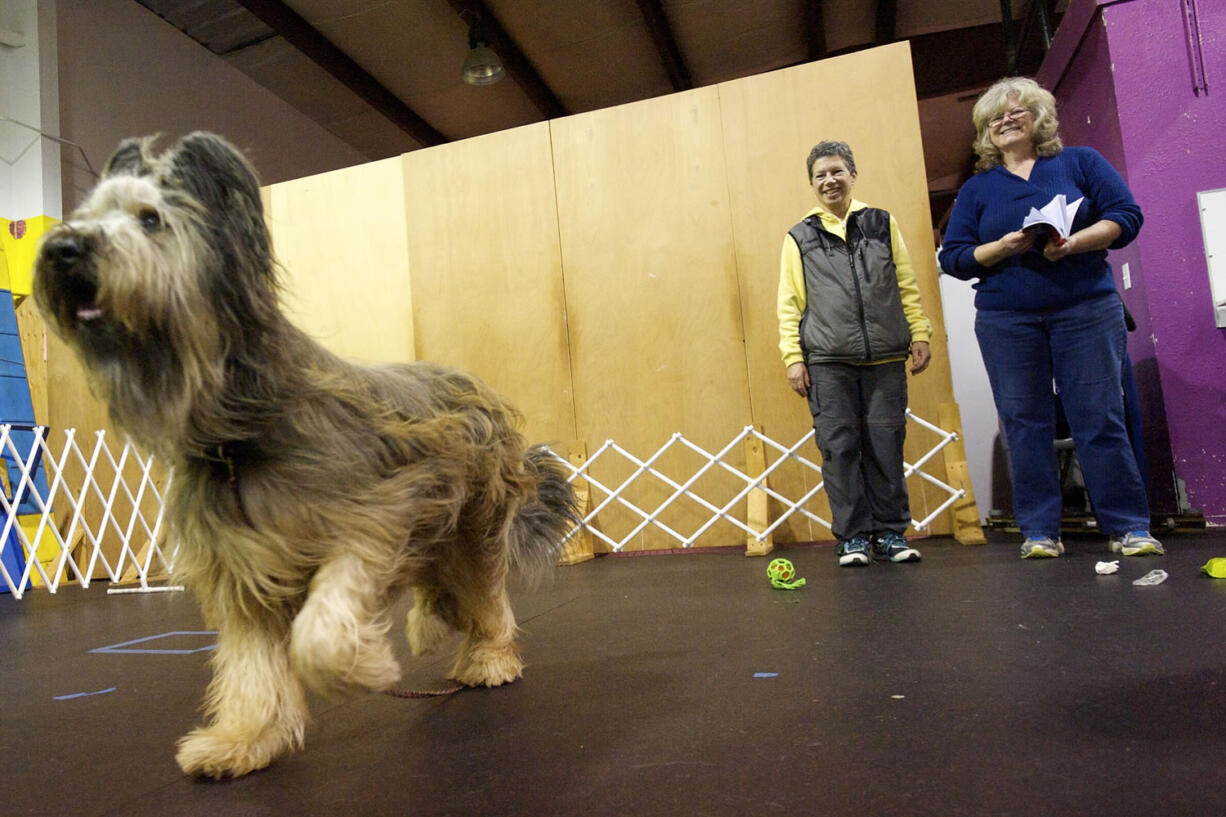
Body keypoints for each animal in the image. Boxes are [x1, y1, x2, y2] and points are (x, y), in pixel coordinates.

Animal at [32, 131, 578, 775]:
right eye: (86, 214)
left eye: (150, 219)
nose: (63, 248)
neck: (238, 432)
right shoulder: (239, 567)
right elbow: (250, 664)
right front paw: (243, 737)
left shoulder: (374, 518)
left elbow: (319, 631)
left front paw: (366, 667)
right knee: (444, 587)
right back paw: (432, 623)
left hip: (474, 521)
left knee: (486, 592)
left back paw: (488, 657)